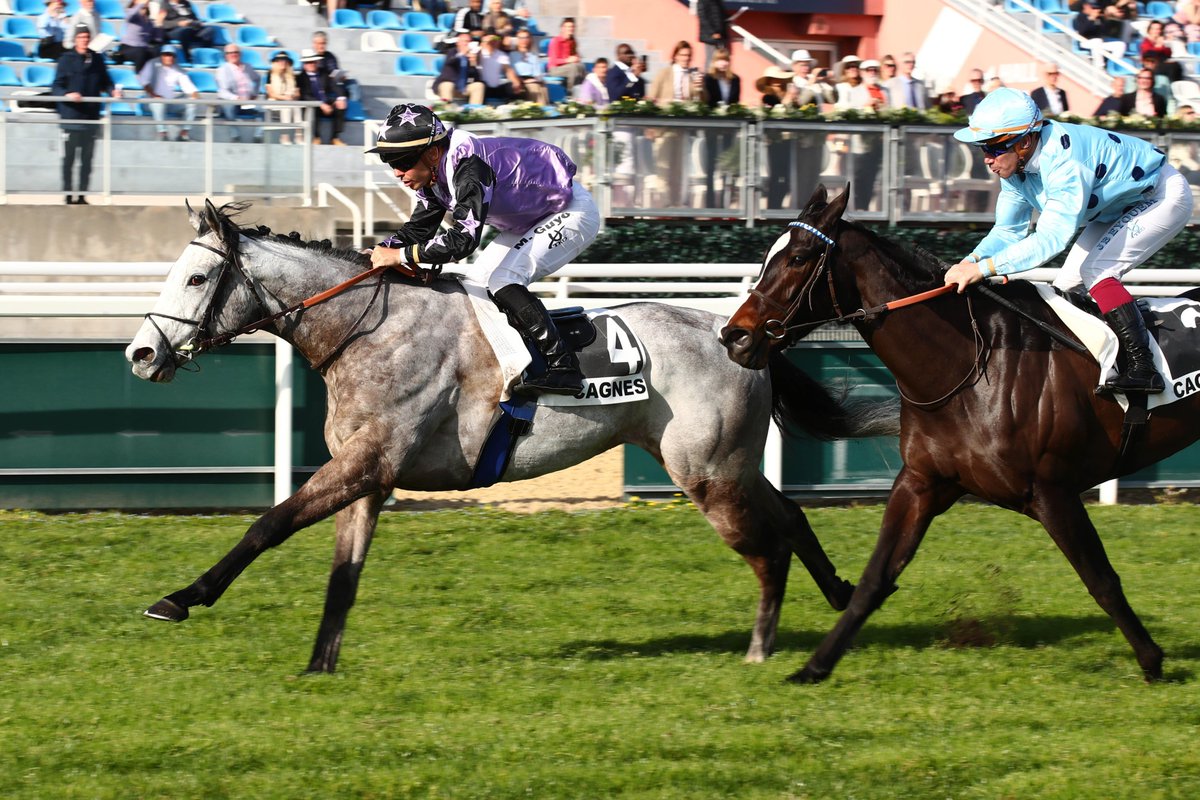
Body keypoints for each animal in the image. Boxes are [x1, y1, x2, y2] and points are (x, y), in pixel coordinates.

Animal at [126, 201, 897, 676]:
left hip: (706, 470)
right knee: (790, 514)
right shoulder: (368, 476)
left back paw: (764, 646)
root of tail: (735, 333)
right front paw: (320, 665)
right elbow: (343, 576)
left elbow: (270, 524)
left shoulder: (365, 462)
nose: (140, 353)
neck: (368, 327)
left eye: (198, 277)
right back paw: (840, 594)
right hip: (722, 461)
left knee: (767, 545)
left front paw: (180, 598)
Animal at [720, 185, 1200, 681]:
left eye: (798, 257)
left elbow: (1101, 578)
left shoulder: (1052, 491)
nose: (735, 336)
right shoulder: (922, 481)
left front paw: (1152, 660)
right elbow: (876, 578)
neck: (971, 366)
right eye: (769, 256)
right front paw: (814, 667)